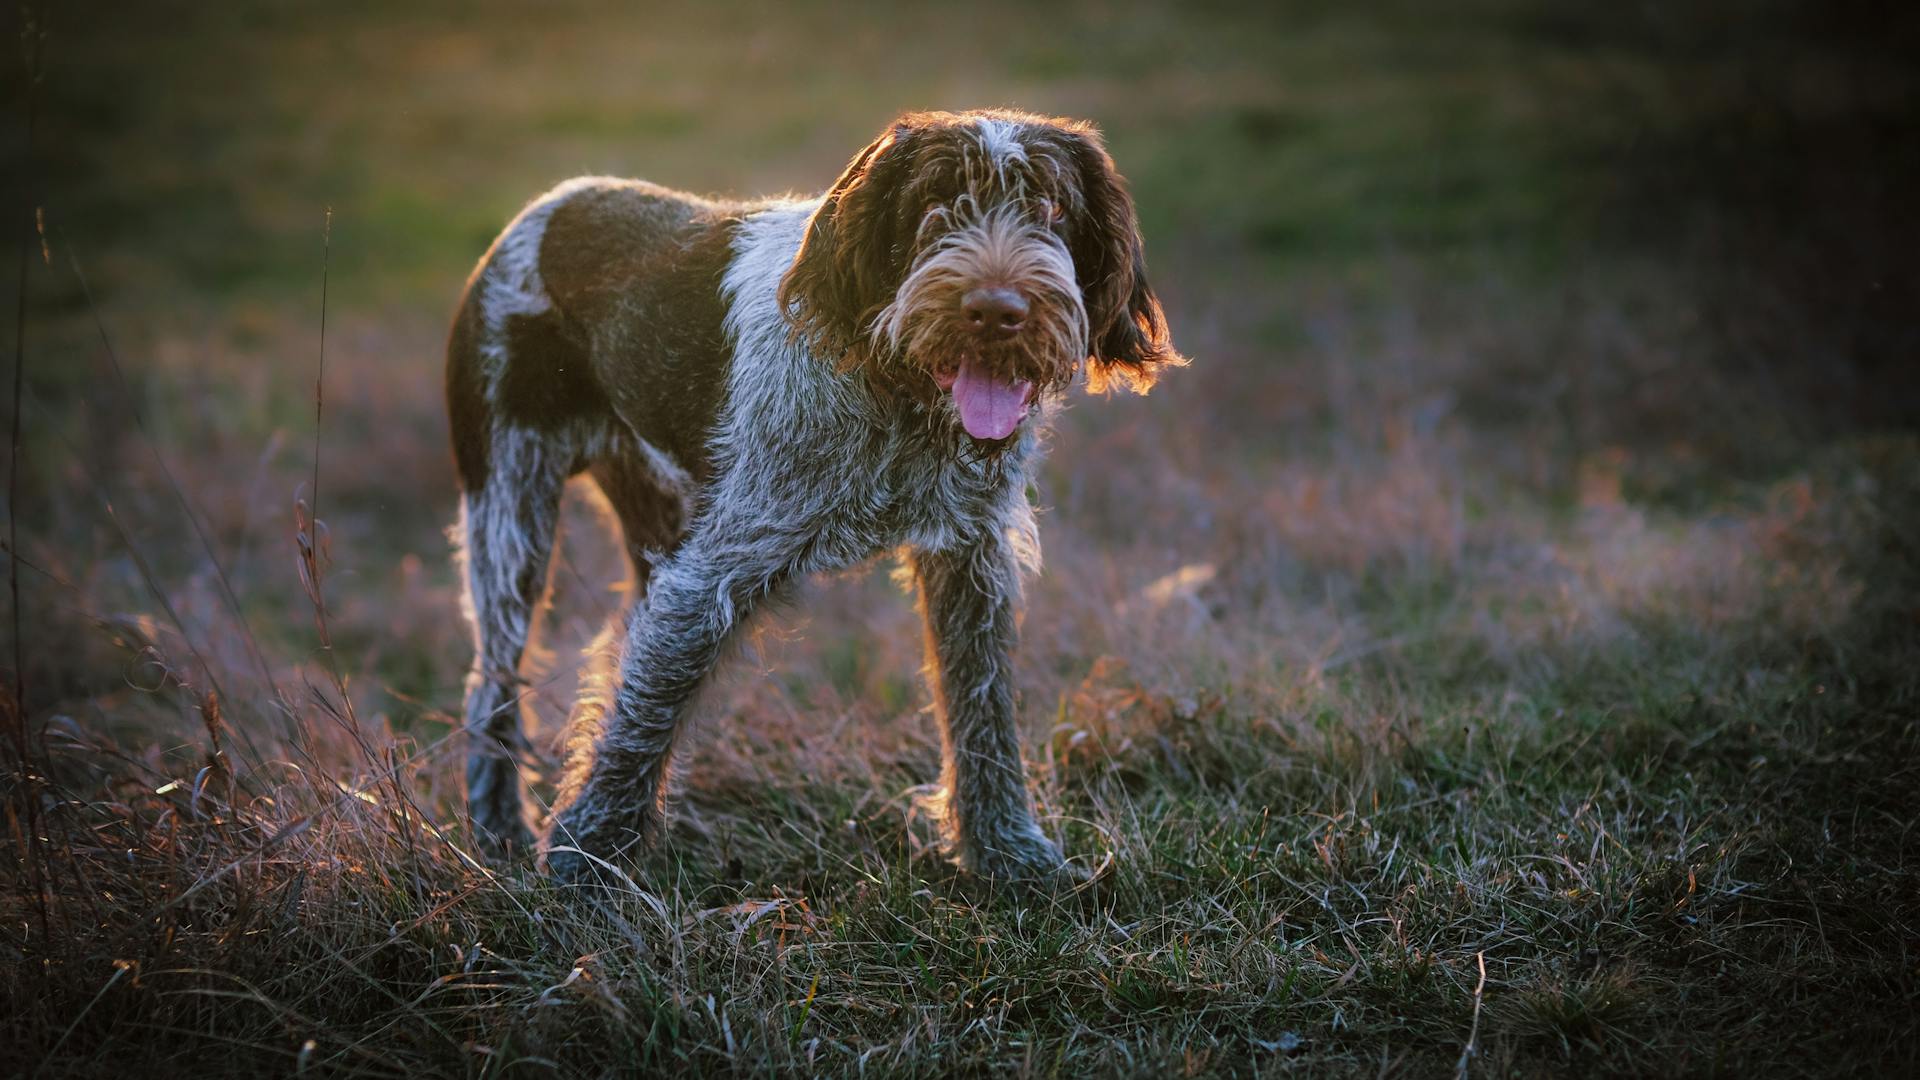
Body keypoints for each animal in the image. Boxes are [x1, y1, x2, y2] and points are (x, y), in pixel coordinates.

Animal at [449, 107, 1182, 883]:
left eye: (1053, 209)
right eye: (932, 204)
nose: (995, 312)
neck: (895, 390)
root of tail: (549, 204)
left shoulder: (970, 556)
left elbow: (980, 707)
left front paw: (1007, 854)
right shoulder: (710, 576)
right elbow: (643, 715)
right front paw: (583, 865)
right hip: (510, 516)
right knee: (493, 680)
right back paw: (497, 831)